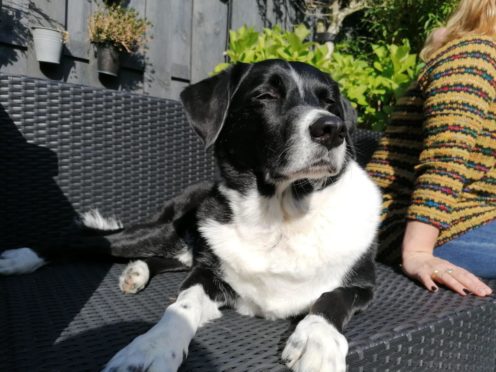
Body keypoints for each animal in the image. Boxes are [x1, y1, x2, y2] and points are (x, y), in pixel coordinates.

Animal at [0, 59, 382, 370]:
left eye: (329, 102)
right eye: (265, 96)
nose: (332, 129)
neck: (279, 216)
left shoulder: (363, 287)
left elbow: (331, 297)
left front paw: (318, 340)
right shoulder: (208, 273)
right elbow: (181, 308)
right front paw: (151, 348)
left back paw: (136, 272)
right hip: (161, 231)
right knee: (87, 242)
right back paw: (20, 257)